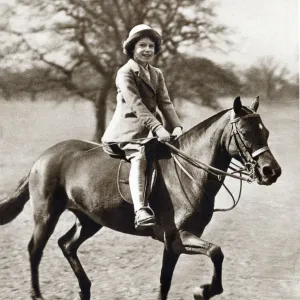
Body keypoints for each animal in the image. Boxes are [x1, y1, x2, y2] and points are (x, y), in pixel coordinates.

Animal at [0, 96, 282, 300]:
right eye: (245, 132)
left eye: (266, 133)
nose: (272, 171)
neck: (190, 171)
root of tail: (43, 157)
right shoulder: (176, 238)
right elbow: (211, 254)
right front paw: (202, 290)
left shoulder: (179, 242)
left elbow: (178, 275)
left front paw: (203, 291)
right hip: (46, 214)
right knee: (35, 249)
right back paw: (37, 295)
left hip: (90, 220)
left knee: (67, 244)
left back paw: (85, 289)